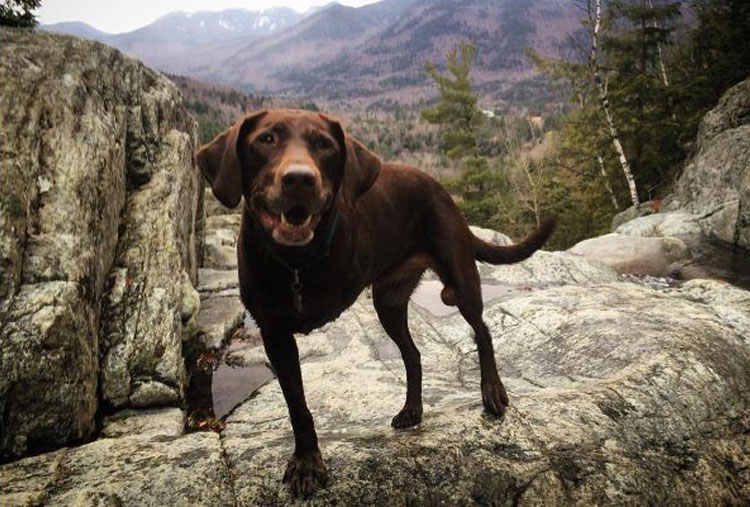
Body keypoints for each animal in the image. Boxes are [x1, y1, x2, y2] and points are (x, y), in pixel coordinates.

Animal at [197, 110, 556, 496]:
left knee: (482, 331)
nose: (299, 179)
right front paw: (307, 462)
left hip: (461, 280)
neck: (296, 262)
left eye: (324, 144)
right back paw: (412, 409)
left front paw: (307, 465)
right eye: (266, 140)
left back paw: (492, 390)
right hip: (389, 304)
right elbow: (298, 406)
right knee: (413, 355)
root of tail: (438, 186)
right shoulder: (274, 334)